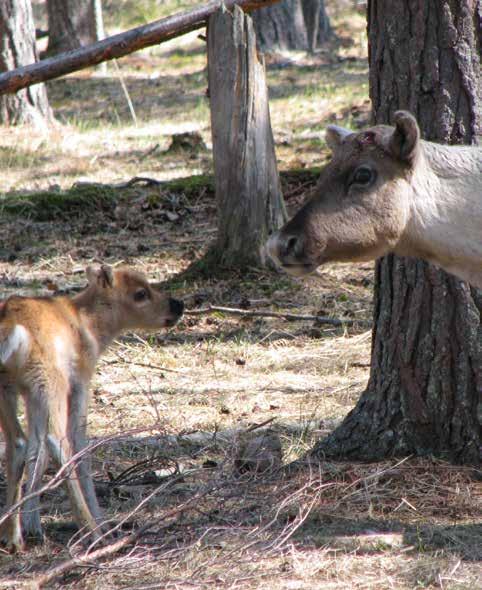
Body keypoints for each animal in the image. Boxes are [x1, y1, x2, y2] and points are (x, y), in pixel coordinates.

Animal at [0, 266, 185, 552]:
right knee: (58, 441)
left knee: (18, 443)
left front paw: (33, 526)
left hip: (11, 387)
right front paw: (102, 521)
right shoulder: (80, 381)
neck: (88, 326)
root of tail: (13, 331)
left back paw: (12, 535)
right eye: (140, 293)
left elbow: (35, 449)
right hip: (50, 379)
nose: (178, 305)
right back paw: (92, 531)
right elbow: (79, 445)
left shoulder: (30, 395)